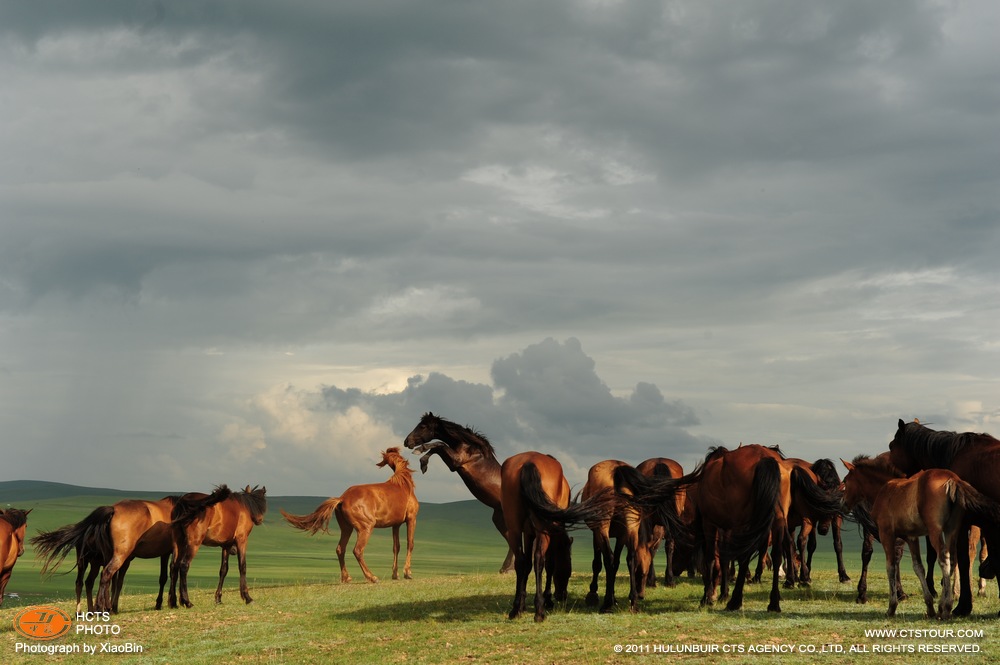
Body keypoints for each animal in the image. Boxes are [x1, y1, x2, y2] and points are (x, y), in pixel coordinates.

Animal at [282, 448, 418, 584]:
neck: (403, 485)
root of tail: (342, 498)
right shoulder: (411, 519)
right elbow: (410, 544)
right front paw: (407, 573)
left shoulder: (396, 524)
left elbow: (396, 547)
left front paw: (395, 575)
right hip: (366, 528)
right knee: (357, 550)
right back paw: (372, 577)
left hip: (347, 528)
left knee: (340, 549)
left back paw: (346, 578)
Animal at [402, 410, 516, 572]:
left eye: (422, 426)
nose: (407, 442)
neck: (470, 446)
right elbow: (437, 447)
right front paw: (423, 462)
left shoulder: (455, 462)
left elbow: (439, 445)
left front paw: (421, 455)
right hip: (499, 518)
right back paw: (506, 568)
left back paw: (508, 569)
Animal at [500, 448, 616, 620]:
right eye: (567, 570)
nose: (562, 595)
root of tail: (529, 462)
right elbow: (549, 564)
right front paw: (547, 599)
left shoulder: (528, 533)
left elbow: (526, 564)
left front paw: (522, 605)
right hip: (542, 530)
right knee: (539, 560)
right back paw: (540, 610)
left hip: (514, 527)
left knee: (520, 561)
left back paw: (515, 610)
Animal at [840, 454, 1000, 620]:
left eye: (845, 481)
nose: (842, 504)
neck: (886, 489)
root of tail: (952, 479)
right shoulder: (912, 537)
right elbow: (918, 567)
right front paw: (929, 606)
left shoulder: (886, 534)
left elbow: (891, 567)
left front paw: (892, 606)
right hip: (952, 530)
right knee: (953, 560)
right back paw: (943, 605)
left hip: (935, 531)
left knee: (944, 559)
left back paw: (946, 606)